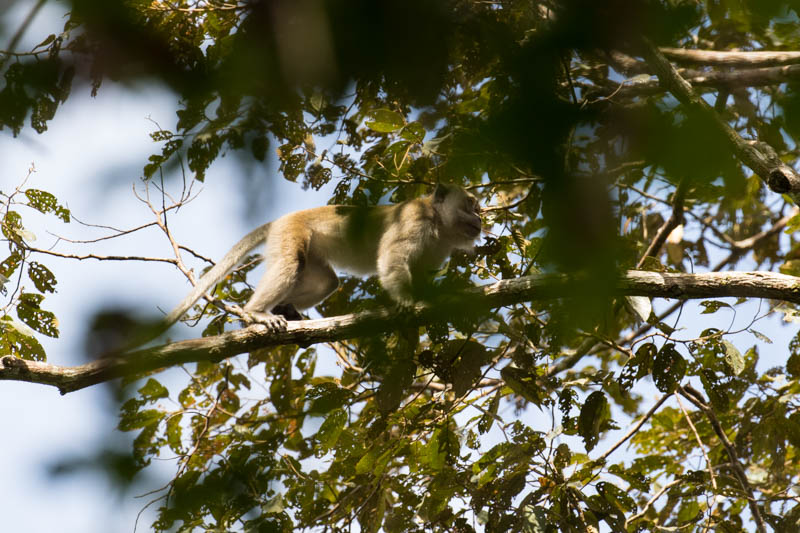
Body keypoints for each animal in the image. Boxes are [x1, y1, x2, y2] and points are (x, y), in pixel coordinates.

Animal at [154, 183, 484, 340]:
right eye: (470, 205)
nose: (481, 218)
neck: (437, 222)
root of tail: (280, 219)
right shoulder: (414, 220)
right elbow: (392, 261)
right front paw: (405, 300)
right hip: (290, 232)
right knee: (290, 264)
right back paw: (256, 313)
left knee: (327, 281)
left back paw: (284, 309)